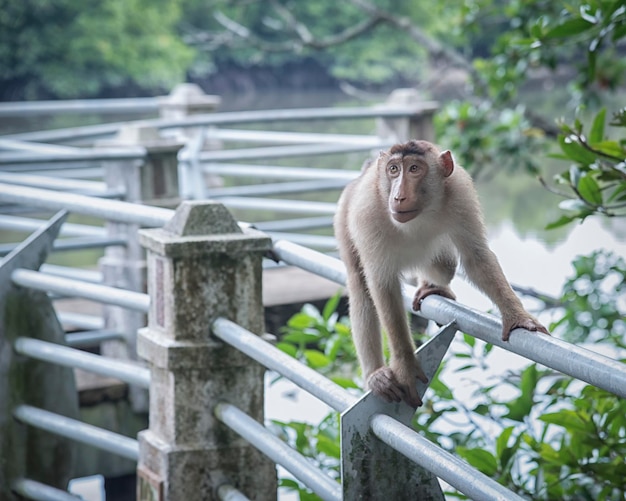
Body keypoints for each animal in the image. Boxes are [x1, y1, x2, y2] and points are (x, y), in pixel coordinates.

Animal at [332, 139, 544, 408]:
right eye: (393, 169)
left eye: (414, 168)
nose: (398, 196)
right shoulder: (366, 214)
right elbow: (382, 285)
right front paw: (405, 365)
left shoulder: (460, 193)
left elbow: (476, 258)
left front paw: (518, 317)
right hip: (344, 215)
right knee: (360, 285)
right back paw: (376, 375)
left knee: (446, 263)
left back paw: (432, 286)